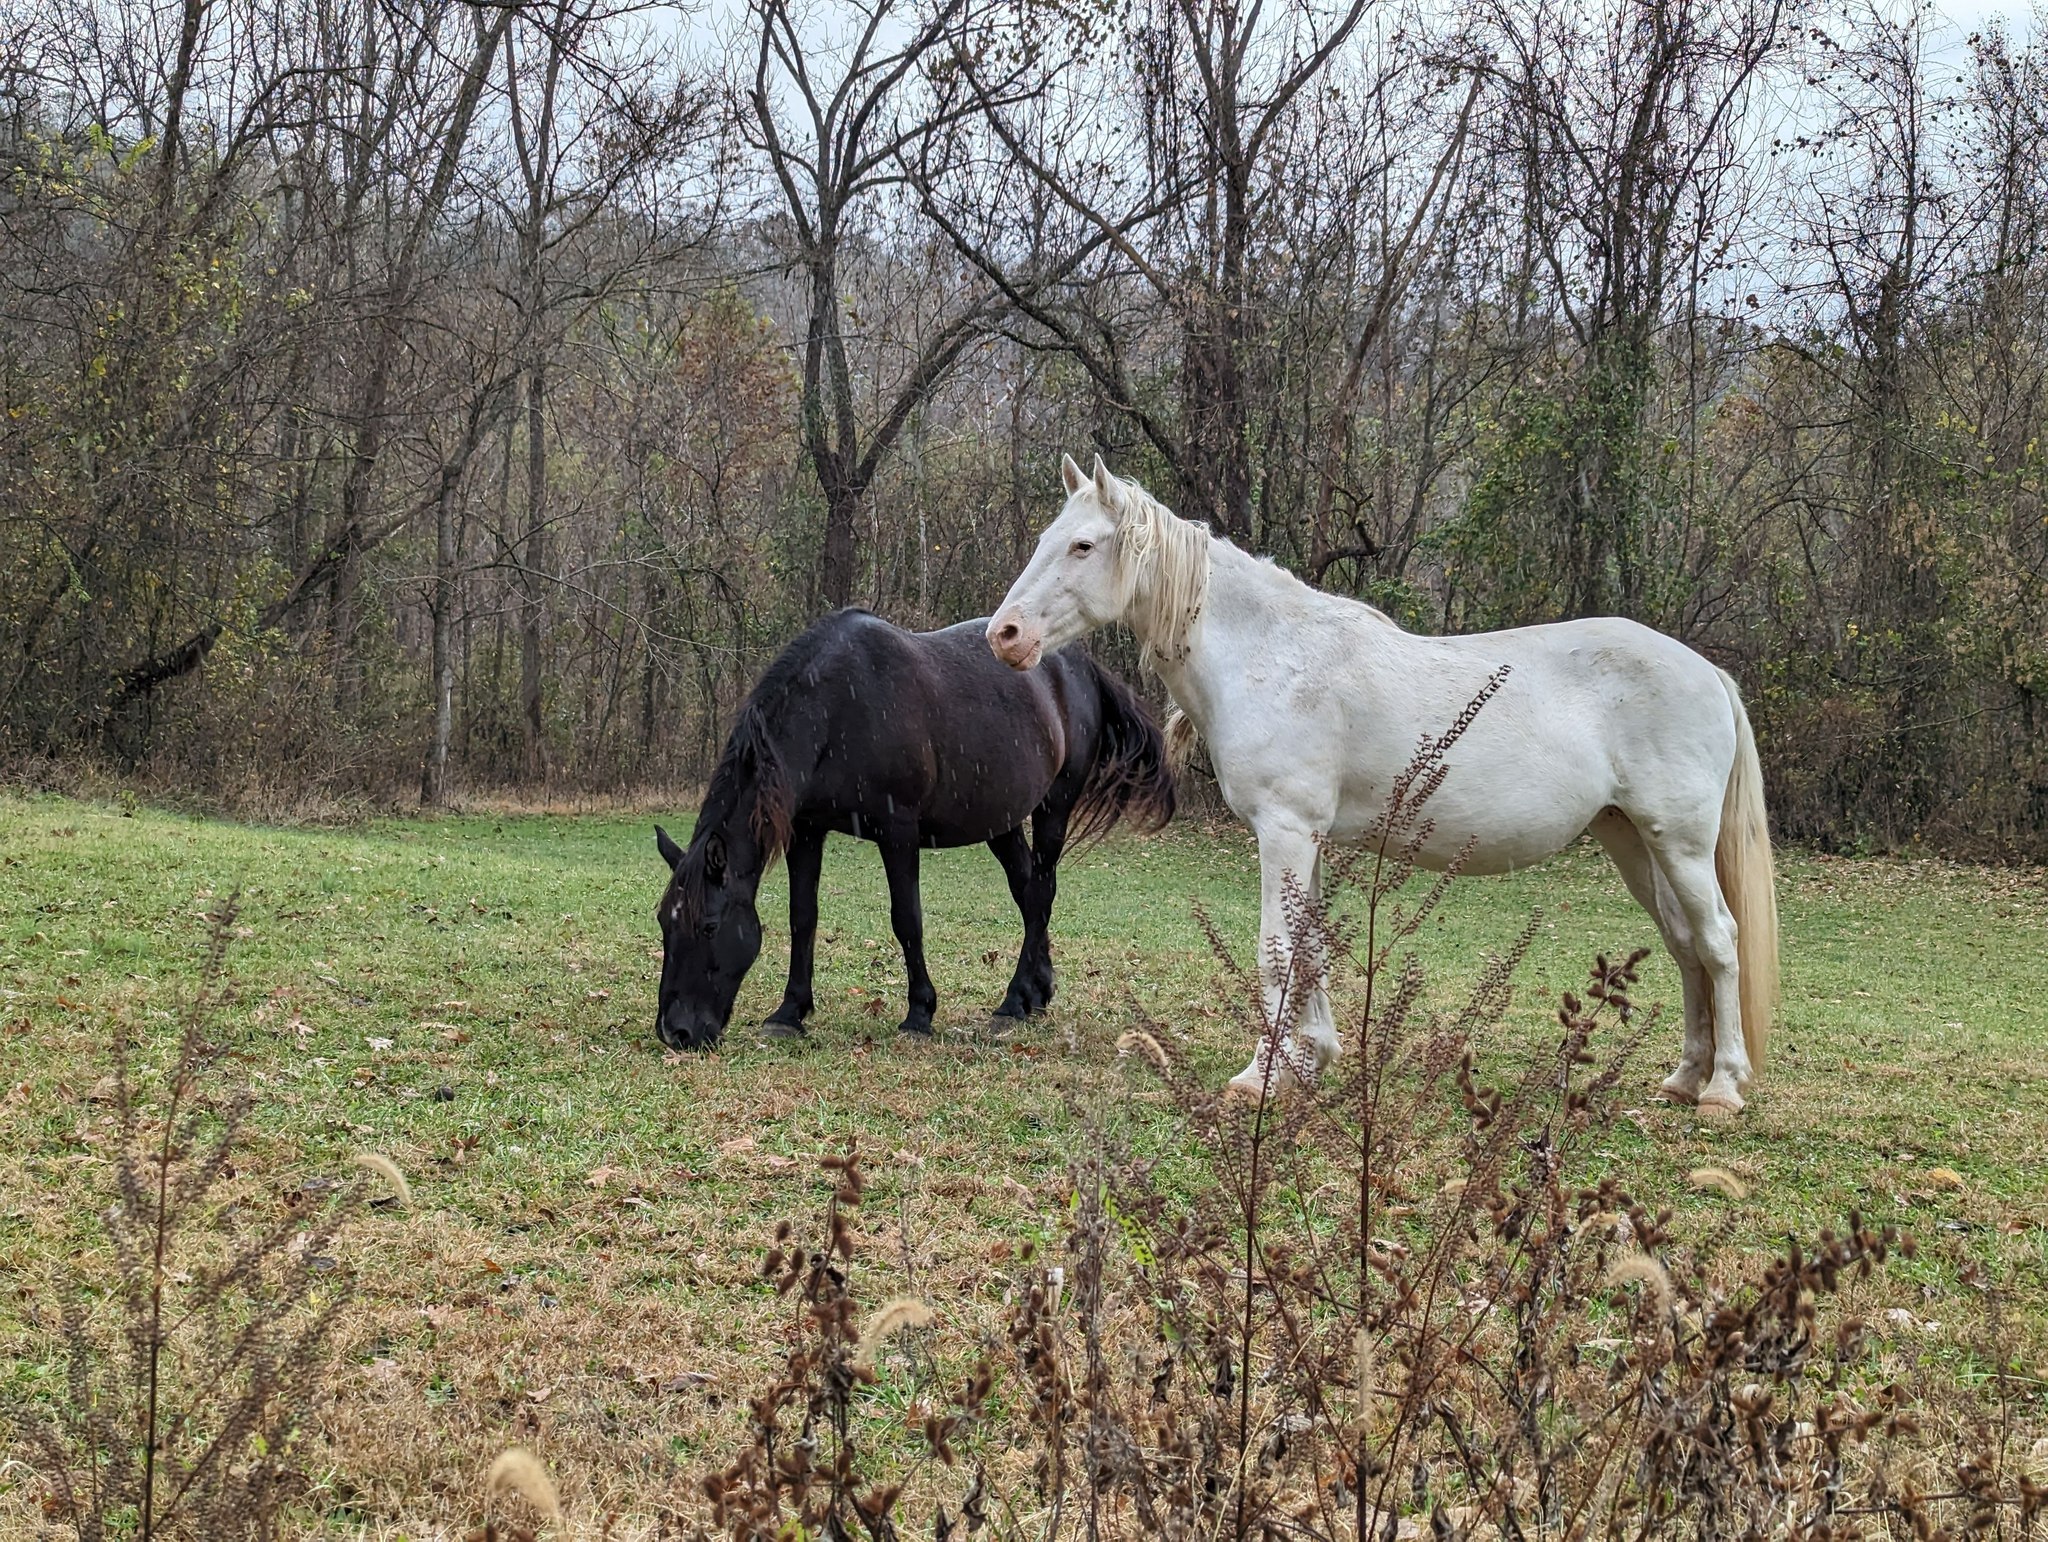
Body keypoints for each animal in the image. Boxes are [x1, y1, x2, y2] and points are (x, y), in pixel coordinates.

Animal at [652, 607, 1175, 1051]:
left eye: (709, 925)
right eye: (663, 922)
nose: (676, 1032)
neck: (837, 708)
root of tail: (1081, 666)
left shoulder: (897, 831)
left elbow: (907, 919)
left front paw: (919, 1014)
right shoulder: (807, 830)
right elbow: (803, 917)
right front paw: (789, 1013)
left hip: (1054, 806)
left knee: (1042, 891)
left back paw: (1011, 1002)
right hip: (1001, 822)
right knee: (1028, 894)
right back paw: (1035, 993)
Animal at [986, 454, 1779, 1113]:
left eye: (1083, 545)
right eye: (1048, 538)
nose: (1005, 635)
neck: (1272, 656)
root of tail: (1707, 671)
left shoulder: (1285, 830)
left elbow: (1277, 952)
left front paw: (1260, 1077)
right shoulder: (1309, 839)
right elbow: (1309, 949)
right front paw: (1311, 1060)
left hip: (1679, 843)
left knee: (1719, 940)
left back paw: (1723, 1089)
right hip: (1633, 842)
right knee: (1685, 944)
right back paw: (1684, 1077)